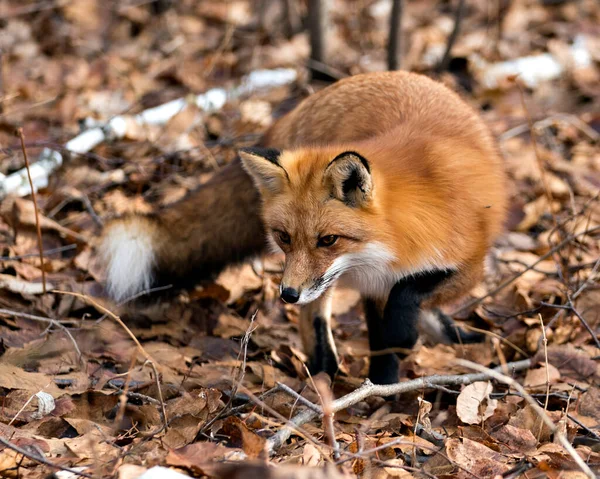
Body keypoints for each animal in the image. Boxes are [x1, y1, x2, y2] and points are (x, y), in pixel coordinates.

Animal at [103, 72, 506, 386]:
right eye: (284, 237)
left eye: (328, 240)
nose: (287, 294)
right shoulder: (373, 283)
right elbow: (385, 330)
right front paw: (383, 382)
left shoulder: (469, 264)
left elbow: (407, 295)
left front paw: (389, 372)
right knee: (314, 317)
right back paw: (323, 369)